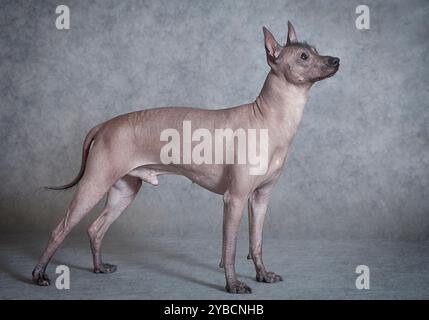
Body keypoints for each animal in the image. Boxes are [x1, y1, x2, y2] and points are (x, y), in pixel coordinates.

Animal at [32, 21, 338, 294]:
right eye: (303, 56)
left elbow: (256, 243)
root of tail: (105, 124)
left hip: (124, 191)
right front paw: (234, 285)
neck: (269, 119)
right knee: (60, 229)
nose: (335, 60)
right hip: (94, 184)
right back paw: (39, 275)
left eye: (315, 50)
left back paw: (98, 267)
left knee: (96, 229)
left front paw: (263, 275)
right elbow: (230, 249)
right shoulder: (235, 199)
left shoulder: (260, 199)